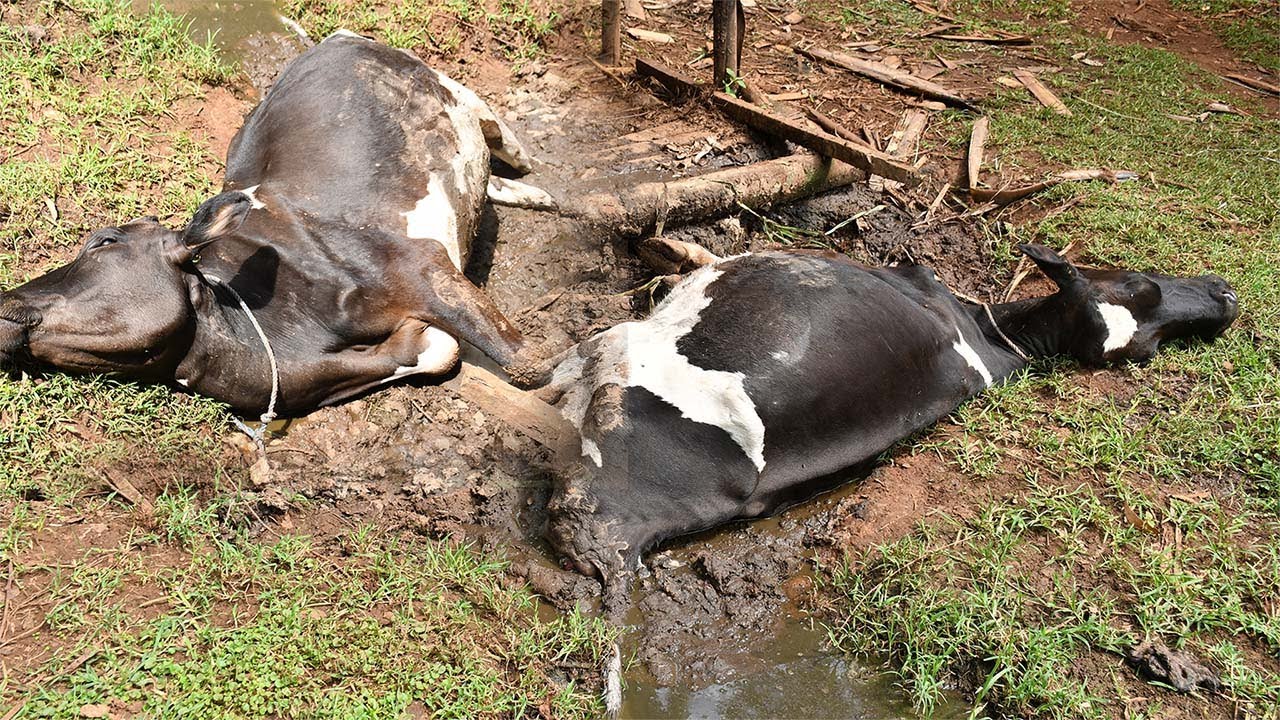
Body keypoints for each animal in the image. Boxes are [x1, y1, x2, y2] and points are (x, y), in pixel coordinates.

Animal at [0, 32, 549, 414]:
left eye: (103, 241)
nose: (5, 299)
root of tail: (329, 41)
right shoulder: (312, 375)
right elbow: (439, 349)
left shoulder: (421, 266)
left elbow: (530, 367)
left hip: (451, 88)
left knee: (497, 134)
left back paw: (532, 180)